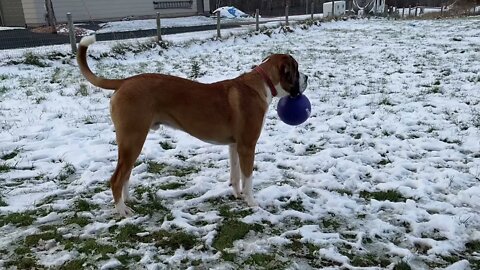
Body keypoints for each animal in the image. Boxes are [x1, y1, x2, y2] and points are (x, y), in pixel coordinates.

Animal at [75, 36, 308, 217]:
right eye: (296, 70)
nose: (307, 77)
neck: (263, 82)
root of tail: (124, 81)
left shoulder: (235, 146)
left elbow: (235, 174)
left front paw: (237, 194)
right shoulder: (247, 147)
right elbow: (248, 177)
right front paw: (251, 202)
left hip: (132, 144)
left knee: (125, 174)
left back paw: (127, 200)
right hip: (132, 140)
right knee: (116, 178)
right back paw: (122, 210)